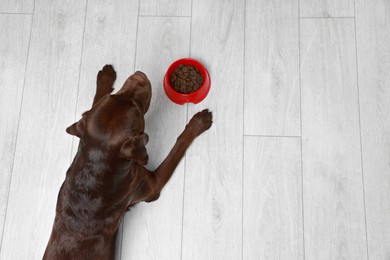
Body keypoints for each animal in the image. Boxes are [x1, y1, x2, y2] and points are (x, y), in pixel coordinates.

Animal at [43, 65, 213, 260]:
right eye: (136, 108)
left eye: (115, 95)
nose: (139, 75)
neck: (98, 159)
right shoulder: (152, 186)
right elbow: (178, 145)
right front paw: (197, 123)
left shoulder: (84, 138)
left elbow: (94, 103)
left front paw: (105, 77)